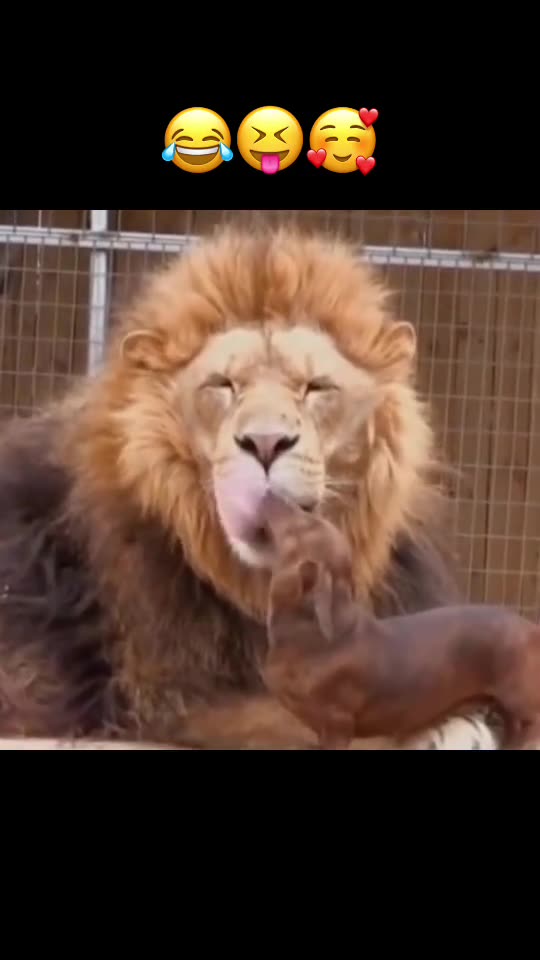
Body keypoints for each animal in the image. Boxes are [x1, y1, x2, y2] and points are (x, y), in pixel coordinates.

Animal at [0, 227, 501, 749]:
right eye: (223, 385)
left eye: (315, 387)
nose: (264, 442)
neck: (262, 584)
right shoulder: (166, 699)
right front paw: (448, 725)